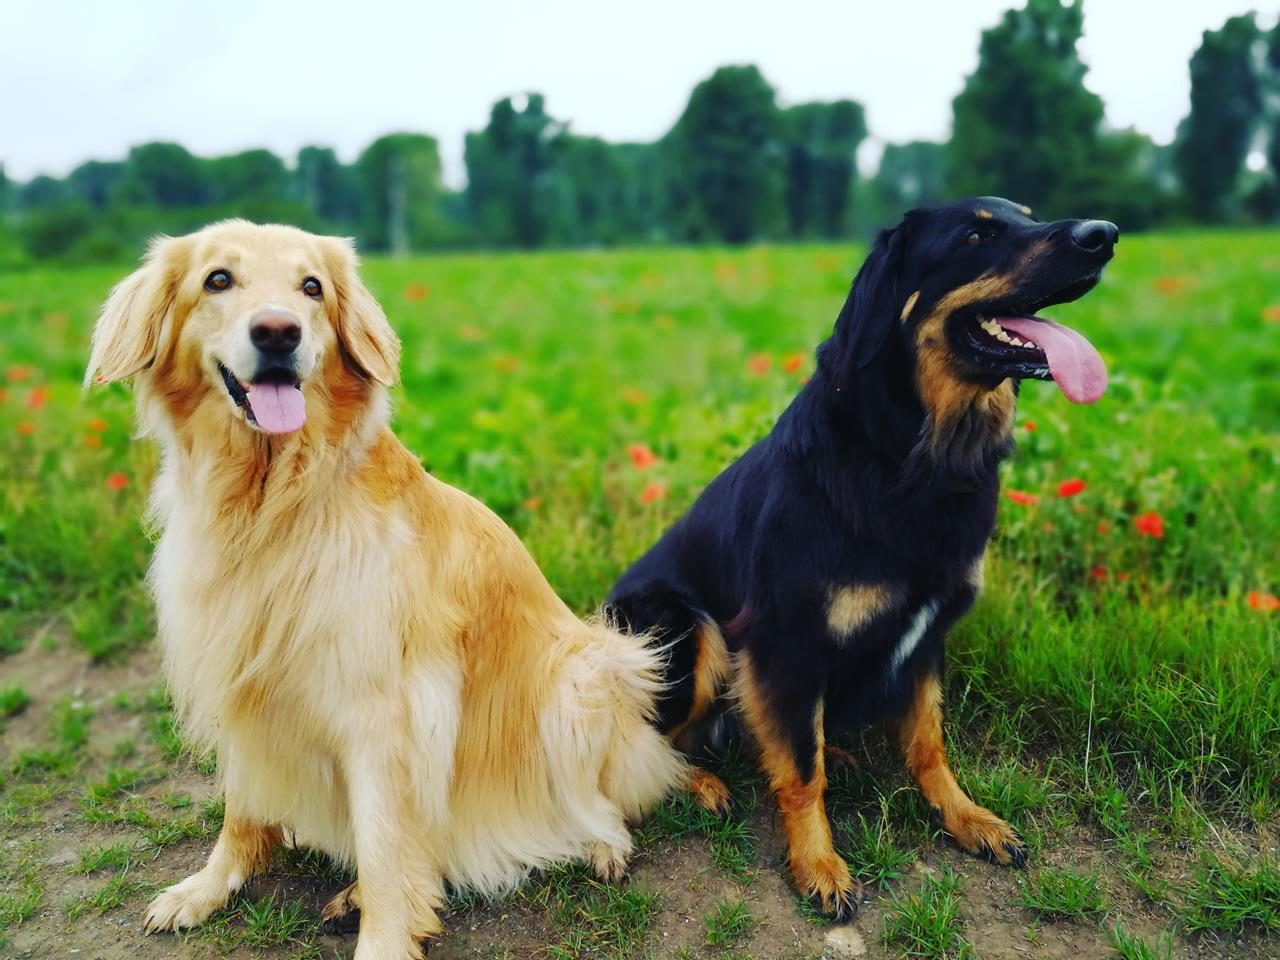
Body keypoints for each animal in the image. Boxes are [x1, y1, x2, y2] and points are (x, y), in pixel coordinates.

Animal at [604, 193, 1116, 916]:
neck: (910, 455)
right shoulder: (785, 642)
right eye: (976, 235)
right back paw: (701, 783)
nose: (1106, 235)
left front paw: (966, 818)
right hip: (686, 627)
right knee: (646, 745)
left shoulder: (927, 633)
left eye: (1027, 213)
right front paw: (819, 863)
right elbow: (802, 773)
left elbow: (927, 743)